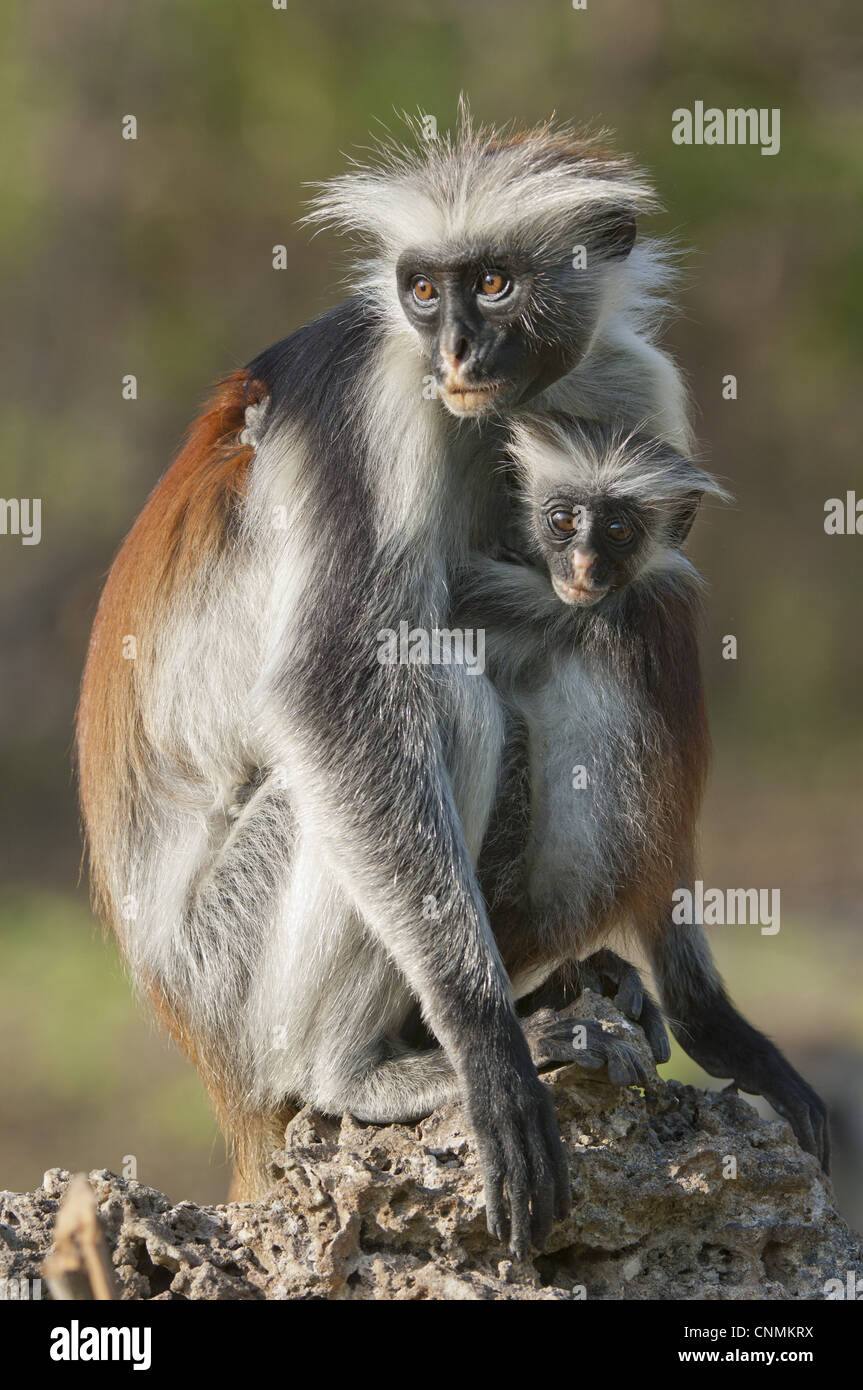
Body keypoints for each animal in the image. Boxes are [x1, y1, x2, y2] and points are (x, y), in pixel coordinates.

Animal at [77, 111, 689, 1262]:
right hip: (226, 974)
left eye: (493, 283)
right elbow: (333, 684)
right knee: (438, 694)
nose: (453, 350)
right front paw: (486, 1043)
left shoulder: (624, 386)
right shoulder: (372, 406)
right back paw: (363, 1071)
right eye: (422, 290)